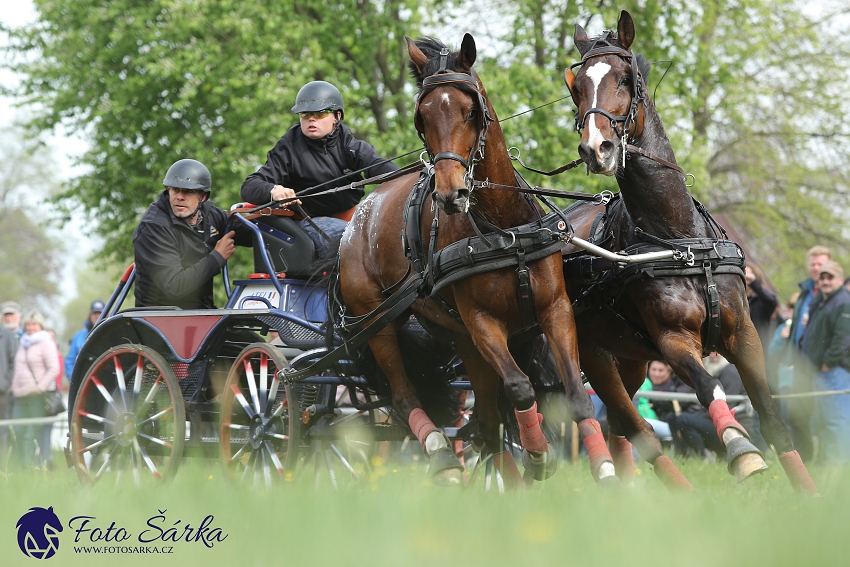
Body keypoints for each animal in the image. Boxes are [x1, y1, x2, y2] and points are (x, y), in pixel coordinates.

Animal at [338, 34, 616, 488]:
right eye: (422, 118)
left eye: (470, 111)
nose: (450, 194)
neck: (503, 229)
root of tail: (356, 219)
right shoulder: (483, 322)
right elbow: (520, 387)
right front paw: (539, 456)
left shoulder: (554, 309)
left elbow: (574, 392)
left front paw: (605, 468)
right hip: (380, 326)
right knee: (404, 396)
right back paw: (443, 456)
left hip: (459, 340)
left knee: (486, 423)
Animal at [556, 11, 816, 494]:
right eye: (576, 86)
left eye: (627, 78)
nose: (597, 148)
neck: (680, 242)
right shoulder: (673, 340)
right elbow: (708, 386)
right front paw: (741, 450)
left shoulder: (744, 334)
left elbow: (771, 416)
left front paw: (807, 492)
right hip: (594, 353)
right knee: (635, 427)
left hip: (630, 357)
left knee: (623, 428)